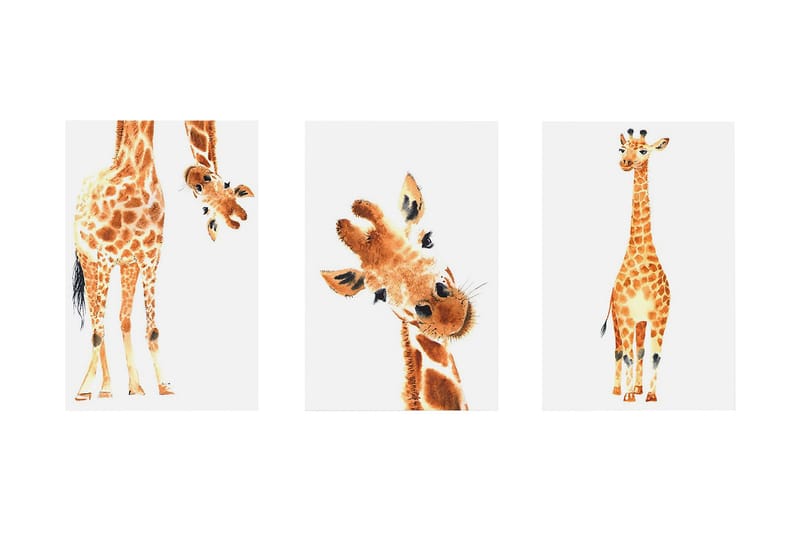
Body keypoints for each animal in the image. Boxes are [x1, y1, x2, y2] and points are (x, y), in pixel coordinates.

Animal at [600, 128, 671, 402]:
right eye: (621, 149)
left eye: (643, 150)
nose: (625, 163)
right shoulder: (627, 316)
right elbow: (628, 355)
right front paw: (628, 395)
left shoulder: (659, 317)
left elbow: (654, 355)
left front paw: (648, 394)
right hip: (619, 321)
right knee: (620, 350)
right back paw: (618, 389)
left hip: (641, 322)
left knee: (639, 350)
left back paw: (638, 388)